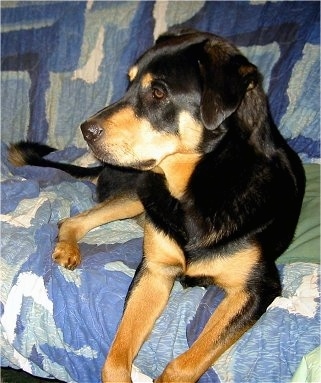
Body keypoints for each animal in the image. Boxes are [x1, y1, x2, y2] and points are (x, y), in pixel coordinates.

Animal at [8, 28, 304, 382]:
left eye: (159, 93)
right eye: (130, 84)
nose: (85, 130)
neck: (197, 187)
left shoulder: (257, 288)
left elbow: (184, 364)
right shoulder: (155, 270)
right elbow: (114, 359)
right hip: (138, 192)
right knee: (73, 220)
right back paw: (67, 248)